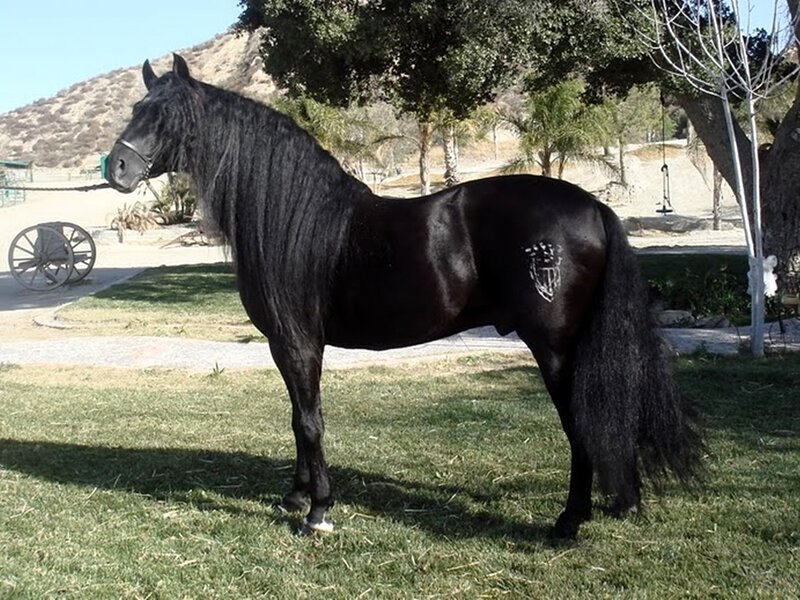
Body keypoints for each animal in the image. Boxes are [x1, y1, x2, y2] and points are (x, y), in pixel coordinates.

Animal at [106, 54, 701, 539]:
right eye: (137, 106)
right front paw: (296, 496)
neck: (294, 218)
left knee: (580, 421)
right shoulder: (285, 345)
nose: (116, 168)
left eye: (164, 115)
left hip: (554, 348)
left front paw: (318, 512)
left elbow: (309, 420)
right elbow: (297, 417)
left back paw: (570, 520)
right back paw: (621, 502)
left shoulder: (298, 343)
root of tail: (592, 207)